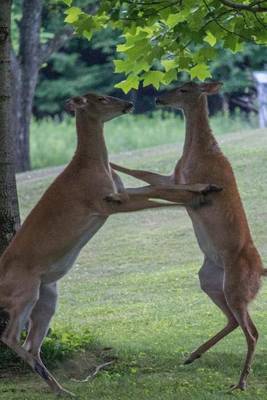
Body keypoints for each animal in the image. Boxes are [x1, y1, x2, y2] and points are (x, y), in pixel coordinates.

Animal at [0, 91, 221, 396]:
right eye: (102, 99)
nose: (129, 103)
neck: (91, 166)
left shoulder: (119, 193)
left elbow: (158, 189)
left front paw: (205, 187)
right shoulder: (105, 202)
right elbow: (155, 198)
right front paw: (198, 197)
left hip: (47, 292)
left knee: (32, 344)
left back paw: (62, 389)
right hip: (24, 291)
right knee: (10, 337)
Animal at [110, 81, 266, 390]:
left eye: (184, 88)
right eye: (173, 83)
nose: (158, 98)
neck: (198, 154)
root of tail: (262, 271)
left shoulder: (191, 193)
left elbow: (151, 188)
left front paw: (119, 190)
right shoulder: (174, 177)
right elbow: (143, 174)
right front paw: (111, 164)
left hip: (238, 286)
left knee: (252, 331)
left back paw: (240, 381)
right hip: (210, 280)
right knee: (233, 320)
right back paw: (193, 355)